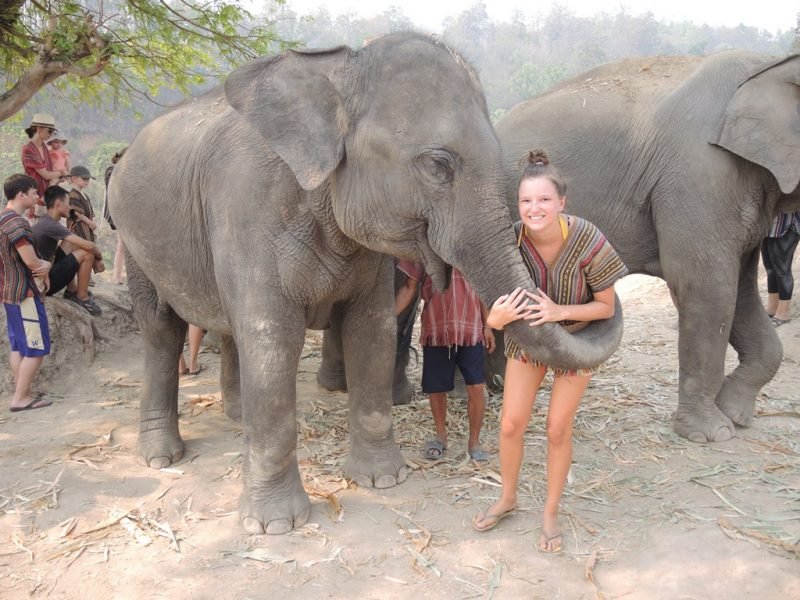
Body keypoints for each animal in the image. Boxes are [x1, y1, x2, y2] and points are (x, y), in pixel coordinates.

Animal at [109, 34, 624, 536]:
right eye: (438, 165)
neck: (339, 71)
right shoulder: (246, 208)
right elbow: (273, 340)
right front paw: (275, 525)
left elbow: (371, 329)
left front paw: (382, 480)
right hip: (133, 239)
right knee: (162, 331)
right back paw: (161, 455)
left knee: (228, 328)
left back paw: (237, 419)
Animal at [494, 51, 800, 442]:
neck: (770, 65)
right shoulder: (699, 176)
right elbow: (705, 285)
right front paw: (711, 434)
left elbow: (740, 287)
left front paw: (737, 415)